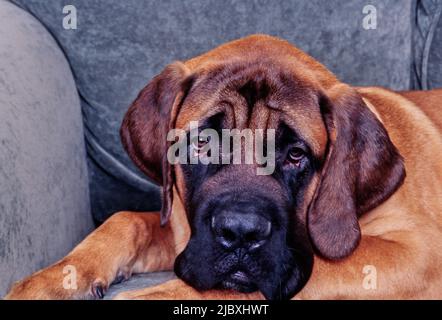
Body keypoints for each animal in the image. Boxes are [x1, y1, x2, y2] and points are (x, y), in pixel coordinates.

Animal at [6, 35, 442, 300]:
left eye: (295, 155)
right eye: (202, 144)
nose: (240, 234)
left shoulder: (417, 253)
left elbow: (293, 274)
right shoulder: (182, 230)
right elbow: (125, 220)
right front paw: (53, 279)